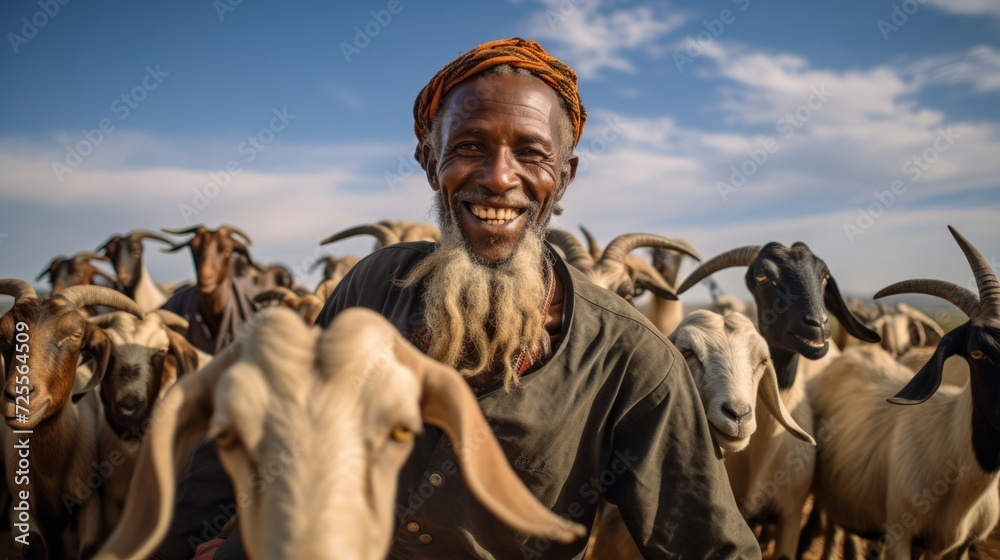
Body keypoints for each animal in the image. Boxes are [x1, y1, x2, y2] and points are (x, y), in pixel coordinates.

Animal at [0, 280, 143, 560]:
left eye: (76, 336)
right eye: (4, 332)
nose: (18, 396)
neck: (51, 469)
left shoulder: (90, 505)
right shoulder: (19, 506)